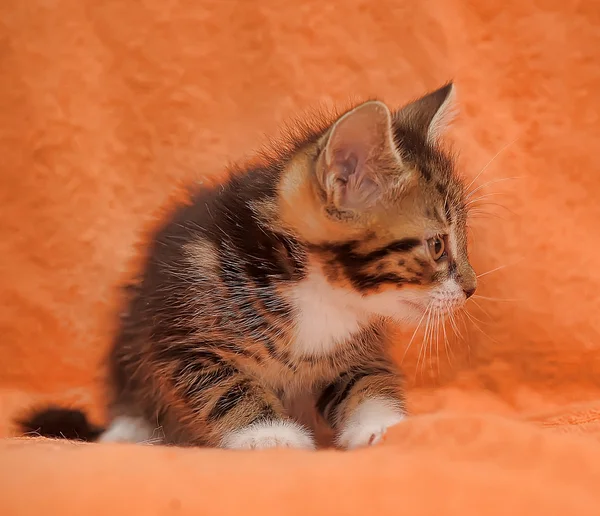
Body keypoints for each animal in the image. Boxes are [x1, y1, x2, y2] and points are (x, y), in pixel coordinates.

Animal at [18, 82, 476, 450]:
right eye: (437, 246)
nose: (471, 288)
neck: (320, 294)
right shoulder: (185, 335)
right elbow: (224, 387)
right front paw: (270, 434)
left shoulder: (358, 350)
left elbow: (368, 380)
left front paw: (381, 425)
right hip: (134, 328)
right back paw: (130, 430)